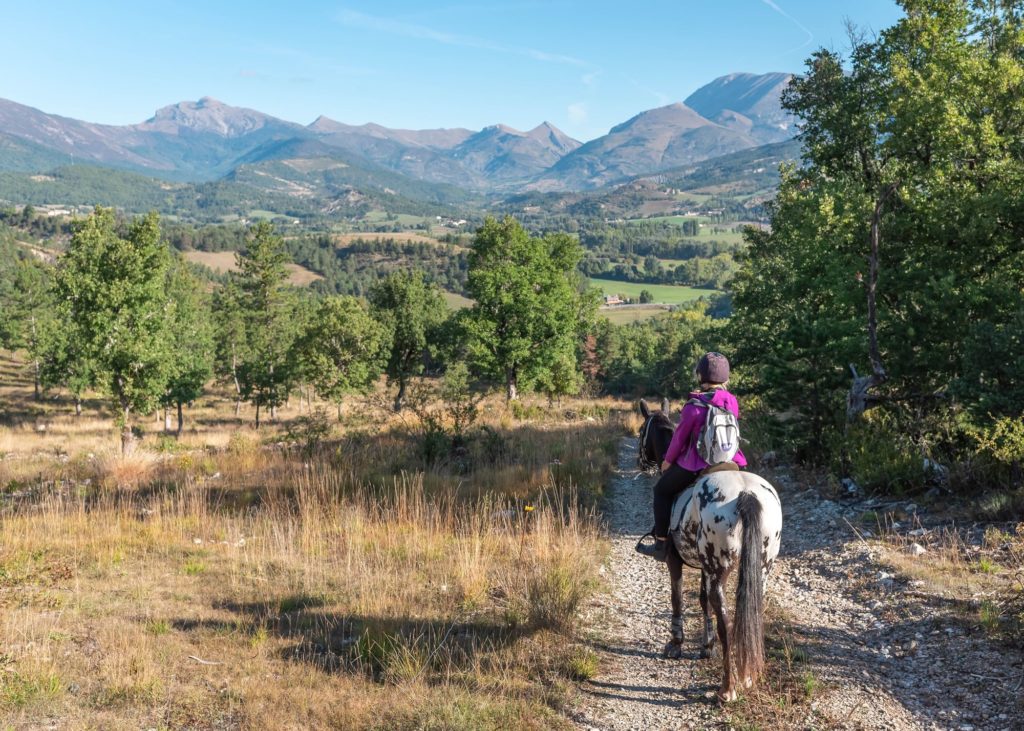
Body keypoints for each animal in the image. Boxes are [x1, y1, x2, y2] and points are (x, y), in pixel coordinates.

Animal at [630, 399, 782, 700]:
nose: (640, 461)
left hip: (718, 568)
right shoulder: (703, 568)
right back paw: (747, 676)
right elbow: (702, 601)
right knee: (750, 615)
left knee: (727, 620)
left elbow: (677, 598)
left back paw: (727, 689)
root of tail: (747, 494)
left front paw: (676, 643)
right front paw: (706, 646)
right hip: (758, 569)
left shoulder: (675, 561)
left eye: (642, 431)